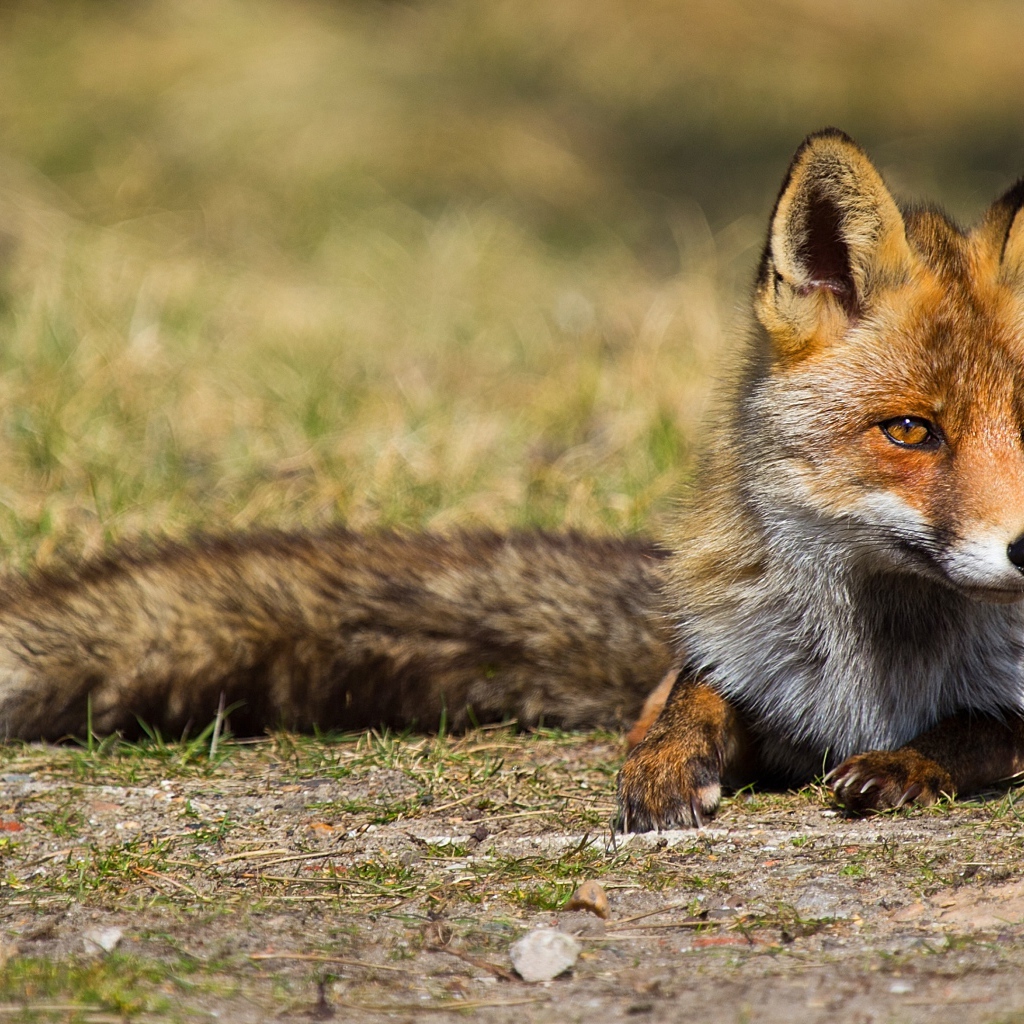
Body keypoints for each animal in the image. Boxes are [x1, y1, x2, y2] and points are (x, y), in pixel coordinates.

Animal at [0, 125, 1024, 831]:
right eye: (911, 431)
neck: (873, 670)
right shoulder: (727, 660)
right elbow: (686, 699)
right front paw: (663, 762)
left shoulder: (998, 709)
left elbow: (977, 729)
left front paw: (907, 765)